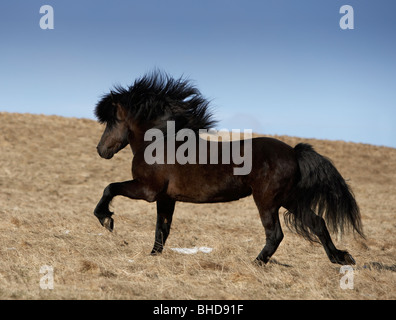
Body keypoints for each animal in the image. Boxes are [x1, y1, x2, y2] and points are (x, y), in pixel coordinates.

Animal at [93, 72, 366, 264]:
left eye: (112, 120)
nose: (101, 150)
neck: (161, 143)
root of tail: (293, 152)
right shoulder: (165, 198)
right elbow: (162, 229)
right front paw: (153, 256)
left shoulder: (147, 190)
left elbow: (110, 188)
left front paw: (106, 219)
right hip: (290, 199)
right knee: (318, 223)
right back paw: (341, 258)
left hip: (267, 201)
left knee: (275, 234)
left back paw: (255, 263)